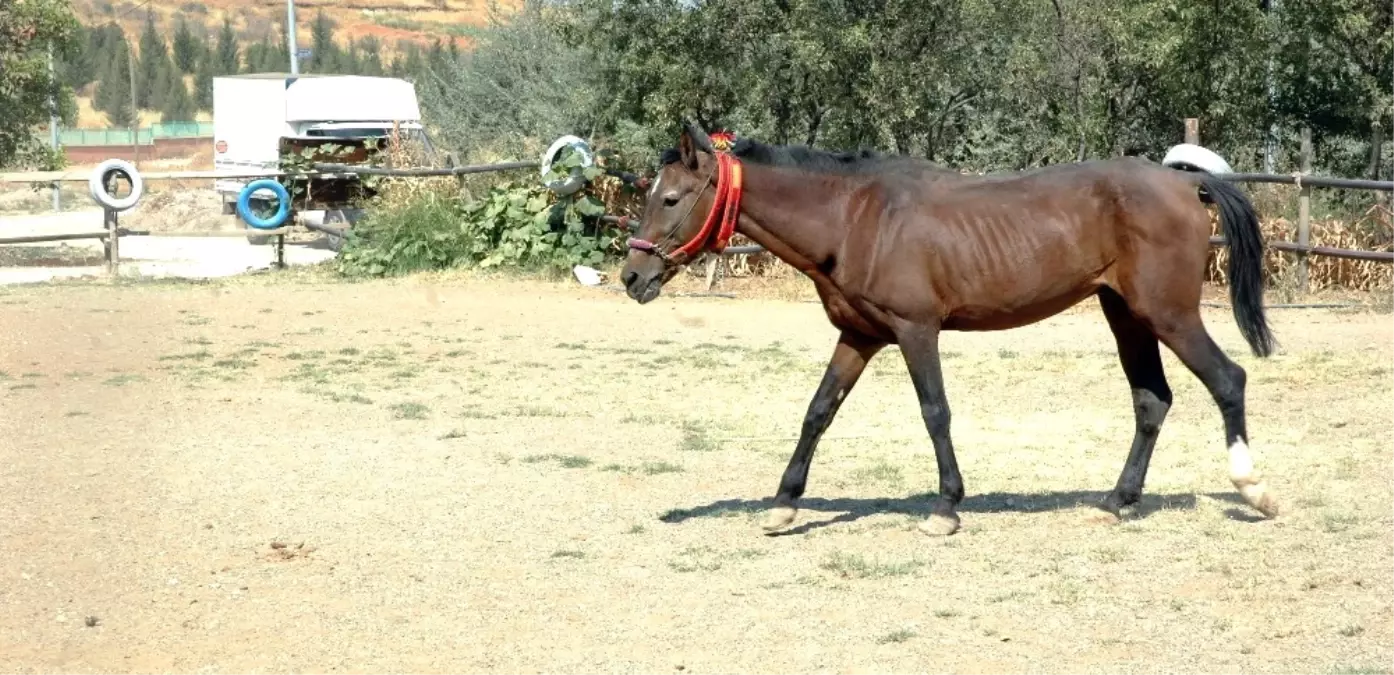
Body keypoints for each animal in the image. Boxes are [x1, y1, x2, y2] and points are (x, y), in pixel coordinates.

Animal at [627, 118, 1276, 535]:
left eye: (670, 199)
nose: (633, 275)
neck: (854, 219)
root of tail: (1185, 181)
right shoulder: (859, 336)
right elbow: (819, 411)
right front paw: (784, 504)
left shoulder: (916, 330)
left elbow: (934, 411)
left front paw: (946, 507)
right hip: (1128, 316)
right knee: (1151, 400)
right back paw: (1118, 500)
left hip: (1169, 315)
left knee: (1228, 380)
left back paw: (1254, 490)